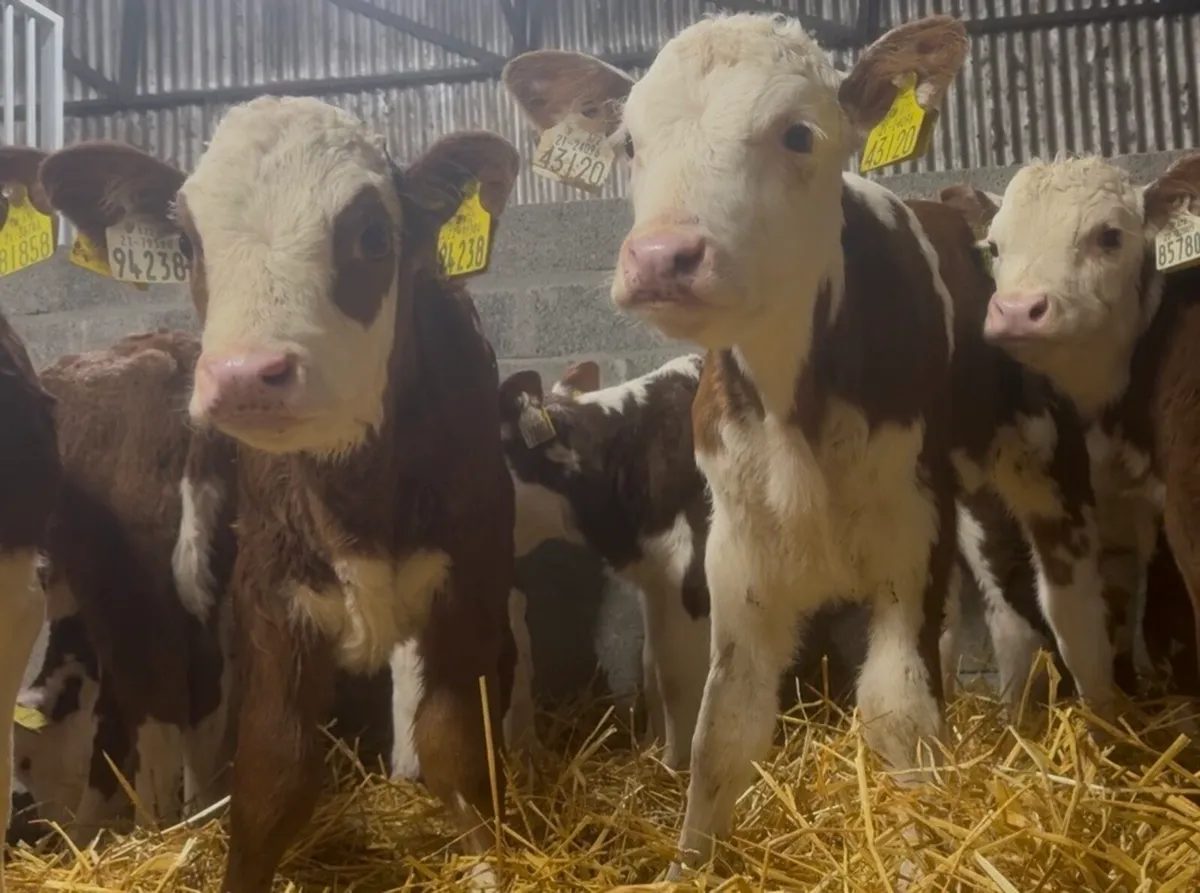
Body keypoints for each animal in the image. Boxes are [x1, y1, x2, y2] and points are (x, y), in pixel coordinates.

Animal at [38, 99, 522, 892]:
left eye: (372, 235)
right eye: (187, 241)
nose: (242, 375)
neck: (354, 497)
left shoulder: (471, 582)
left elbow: (459, 744)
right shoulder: (270, 594)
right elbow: (273, 770)